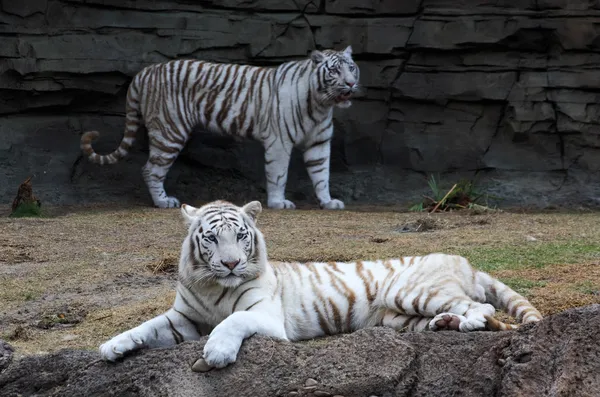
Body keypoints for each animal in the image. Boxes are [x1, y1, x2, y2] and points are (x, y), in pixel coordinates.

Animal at [77, 46, 358, 209]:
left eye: (352, 68)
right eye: (335, 70)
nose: (351, 84)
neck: (321, 104)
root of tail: (144, 72)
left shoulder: (319, 143)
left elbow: (321, 175)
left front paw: (328, 201)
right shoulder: (278, 142)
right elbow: (278, 174)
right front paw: (279, 203)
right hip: (169, 131)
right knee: (150, 169)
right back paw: (163, 202)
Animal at [99, 201, 544, 372]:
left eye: (240, 236)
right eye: (210, 238)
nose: (231, 263)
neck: (212, 286)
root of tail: (462, 260)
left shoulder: (264, 315)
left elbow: (231, 323)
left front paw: (217, 352)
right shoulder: (183, 318)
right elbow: (146, 327)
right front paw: (113, 346)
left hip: (411, 291)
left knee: (483, 310)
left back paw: (463, 324)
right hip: (398, 317)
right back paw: (445, 325)